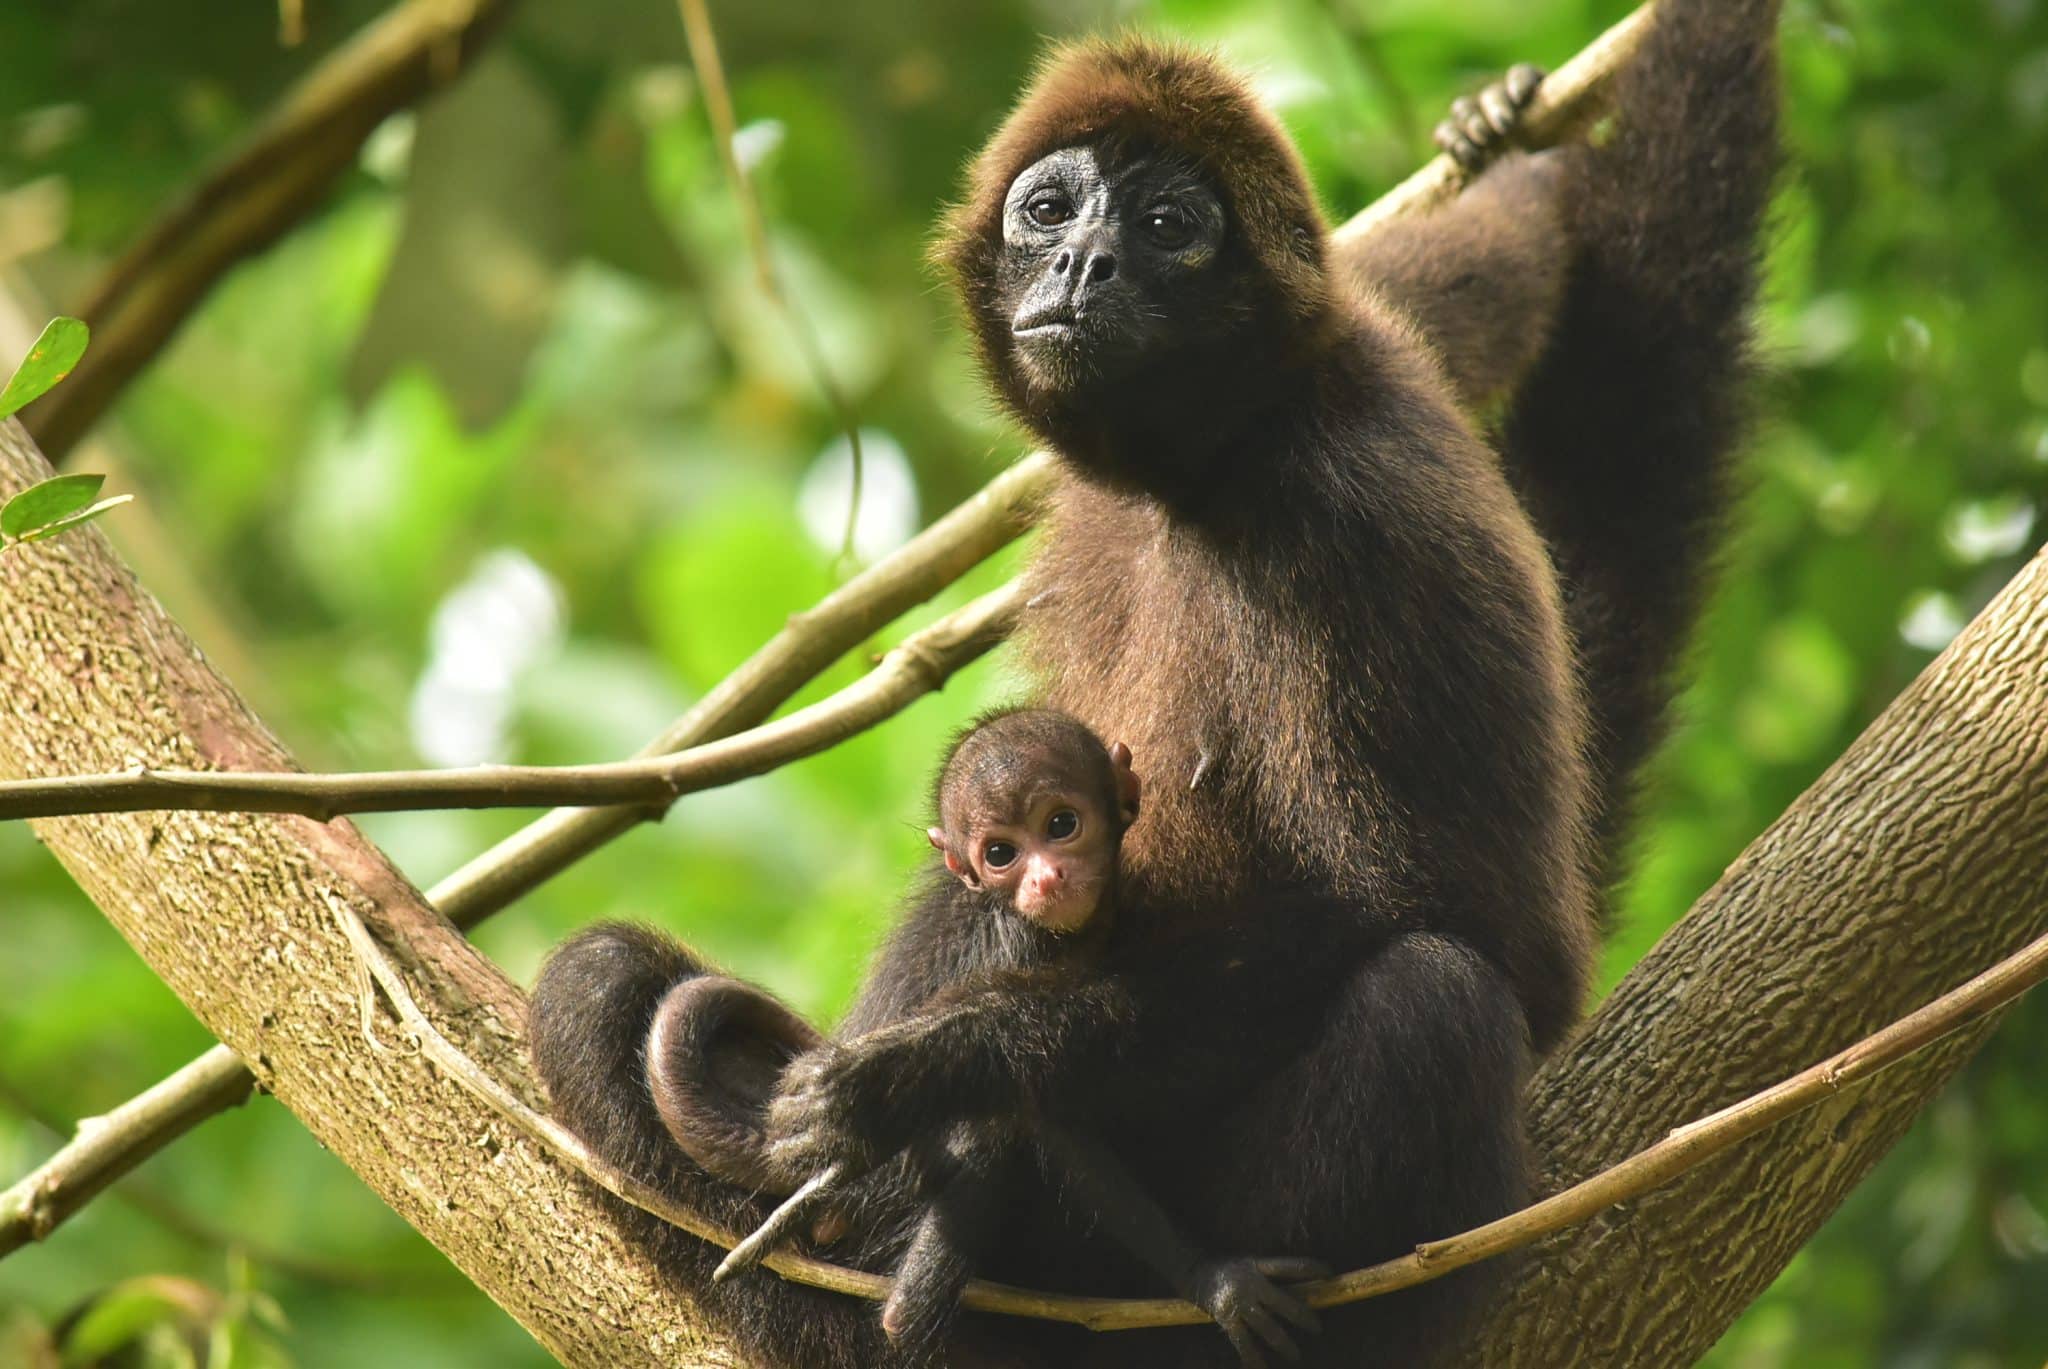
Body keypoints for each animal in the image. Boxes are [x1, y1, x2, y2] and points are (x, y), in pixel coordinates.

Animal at [651, 707, 1326, 1366]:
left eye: (1062, 824)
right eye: (1001, 854)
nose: (1047, 878)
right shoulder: (1017, 941)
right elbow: (1042, 1118)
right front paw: (1213, 1281)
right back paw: (905, 1317)